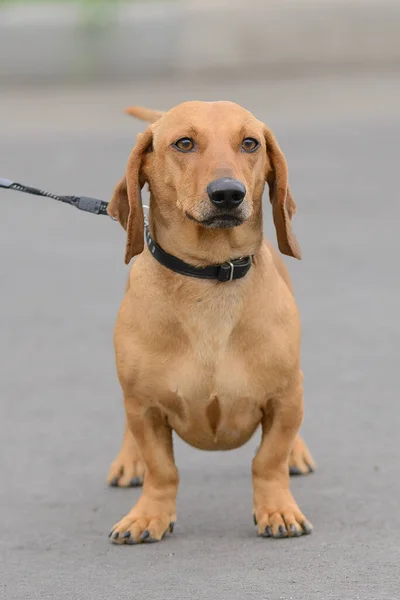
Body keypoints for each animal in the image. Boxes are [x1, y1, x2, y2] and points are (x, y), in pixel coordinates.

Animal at [105, 99, 316, 544]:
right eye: (184, 143)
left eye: (250, 143)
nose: (228, 194)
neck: (210, 276)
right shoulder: (144, 407)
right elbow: (162, 469)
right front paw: (149, 515)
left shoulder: (284, 398)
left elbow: (267, 460)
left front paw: (277, 509)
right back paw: (129, 461)